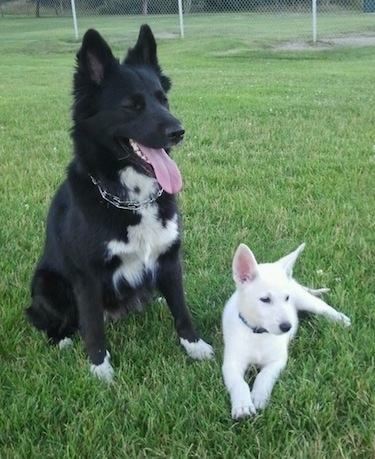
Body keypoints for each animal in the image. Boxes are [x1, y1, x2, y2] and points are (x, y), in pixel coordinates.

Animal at [25, 25, 214, 380]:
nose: (178, 132)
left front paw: (194, 346)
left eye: (162, 99)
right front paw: (100, 370)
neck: (132, 200)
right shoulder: (87, 277)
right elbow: (93, 328)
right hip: (46, 283)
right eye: (132, 105)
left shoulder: (170, 259)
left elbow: (181, 308)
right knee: (49, 319)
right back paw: (61, 338)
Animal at [222, 244, 352, 420]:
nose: (287, 327)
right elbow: (239, 383)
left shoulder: (277, 361)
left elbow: (264, 376)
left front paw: (259, 396)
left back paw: (341, 319)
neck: (258, 334)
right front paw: (243, 406)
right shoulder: (231, 363)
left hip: (306, 300)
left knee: (323, 307)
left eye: (287, 298)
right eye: (265, 299)